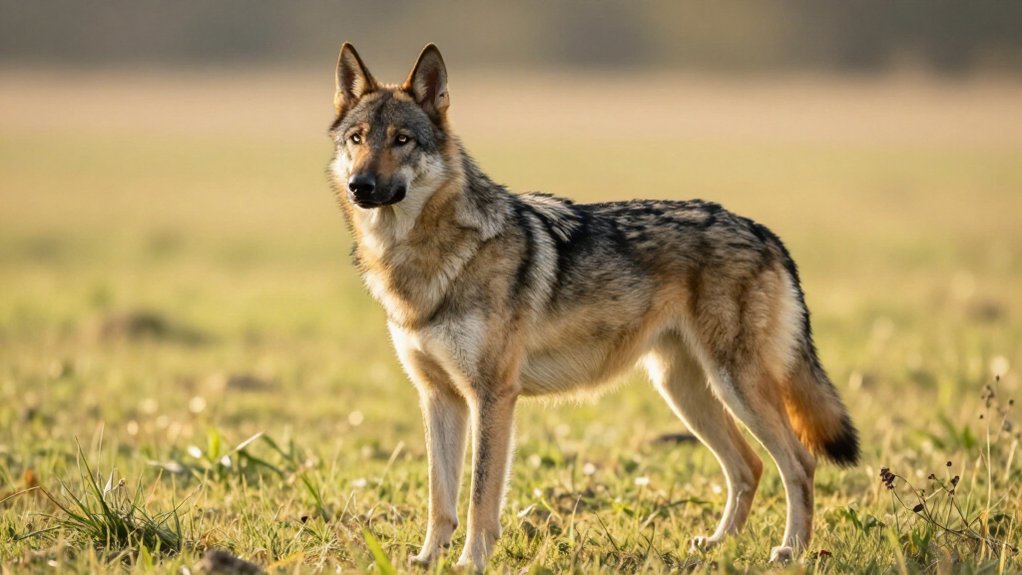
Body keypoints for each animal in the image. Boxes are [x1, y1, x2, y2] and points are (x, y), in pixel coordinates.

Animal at [327, 43, 859, 570]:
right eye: (357, 138)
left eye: (401, 140)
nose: (360, 185)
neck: (425, 259)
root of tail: (761, 230)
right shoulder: (439, 397)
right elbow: (440, 498)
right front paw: (426, 559)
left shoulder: (492, 395)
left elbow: (480, 498)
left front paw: (470, 562)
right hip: (685, 391)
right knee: (748, 466)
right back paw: (716, 544)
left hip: (736, 386)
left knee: (798, 461)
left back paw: (792, 551)